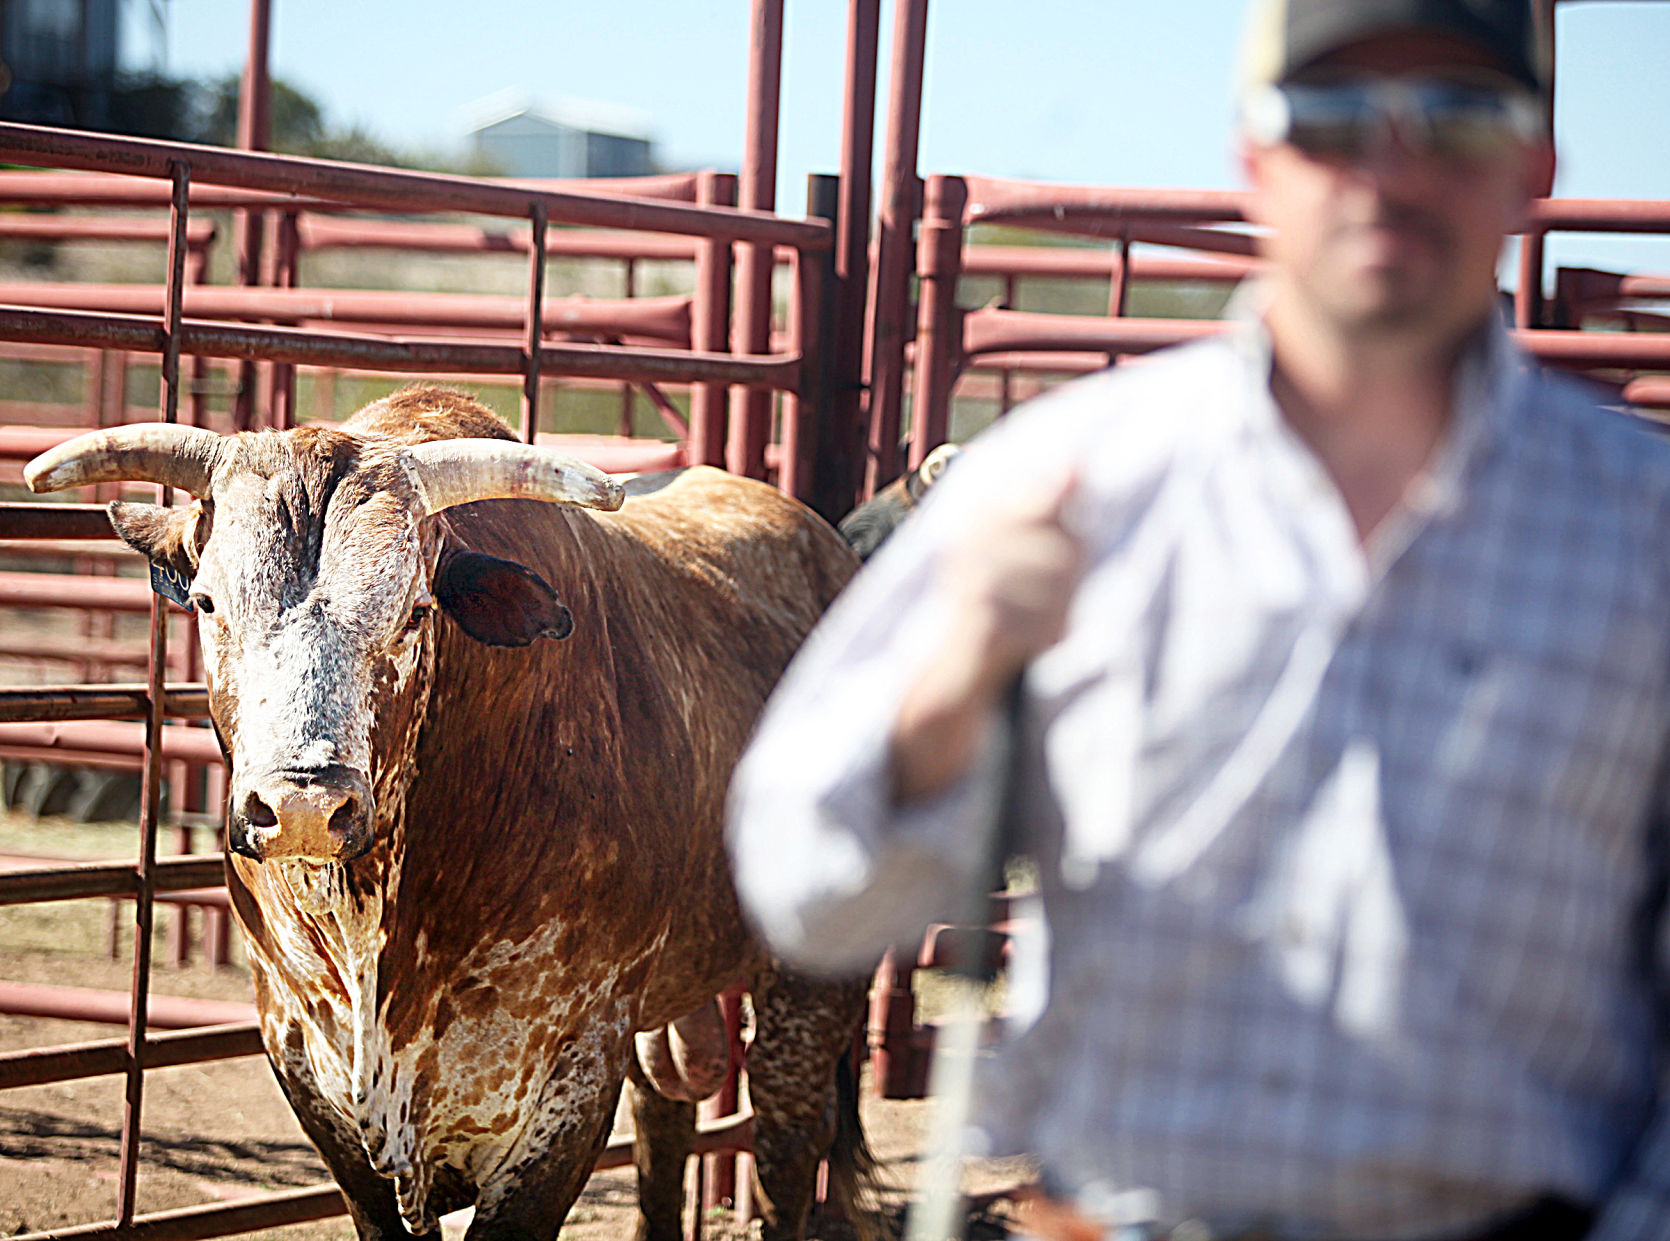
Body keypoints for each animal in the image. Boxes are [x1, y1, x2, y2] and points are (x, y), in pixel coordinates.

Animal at [26, 387, 875, 1241]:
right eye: (206, 601)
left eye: (414, 609)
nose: (303, 804)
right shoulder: (300, 1053)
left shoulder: (572, 1074)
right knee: (665, 1117)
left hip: (812, 981)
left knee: (787, 1143)